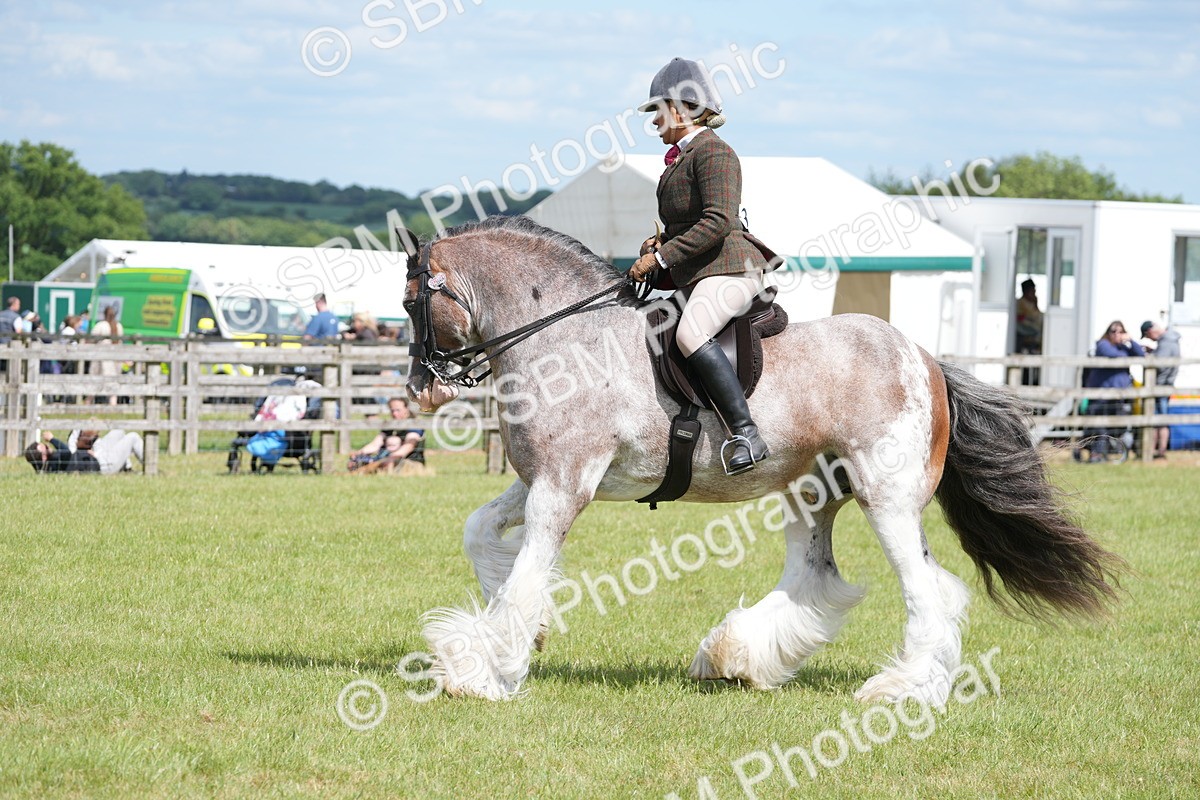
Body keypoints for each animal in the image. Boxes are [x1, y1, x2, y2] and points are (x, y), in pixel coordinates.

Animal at [402, 215, 1122, 703]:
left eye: (412, 302)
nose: (422, 390)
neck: (566, 339)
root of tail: (925, 359)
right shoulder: (539, 482)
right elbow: (481, 535)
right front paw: (522, 635)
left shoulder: (562, 486)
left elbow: (524, 578)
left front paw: (480, 668)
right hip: (812, 490)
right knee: (815, 576)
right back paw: (738, 657)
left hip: (885, 496)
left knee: (927, 588)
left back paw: (904, 688)